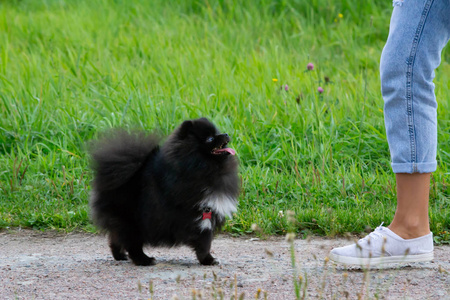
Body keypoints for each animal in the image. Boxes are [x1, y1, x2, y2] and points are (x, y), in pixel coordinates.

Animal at [89, 118, 241, 266]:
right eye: (210, 138)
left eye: (218, 132)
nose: (226, 134)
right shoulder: (198, 217)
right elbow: (203, 243)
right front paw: (208, 260)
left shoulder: (207, 213)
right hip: (131, 220)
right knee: (132, 244)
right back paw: (144, 260)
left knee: (116, 237)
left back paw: (120, 256)